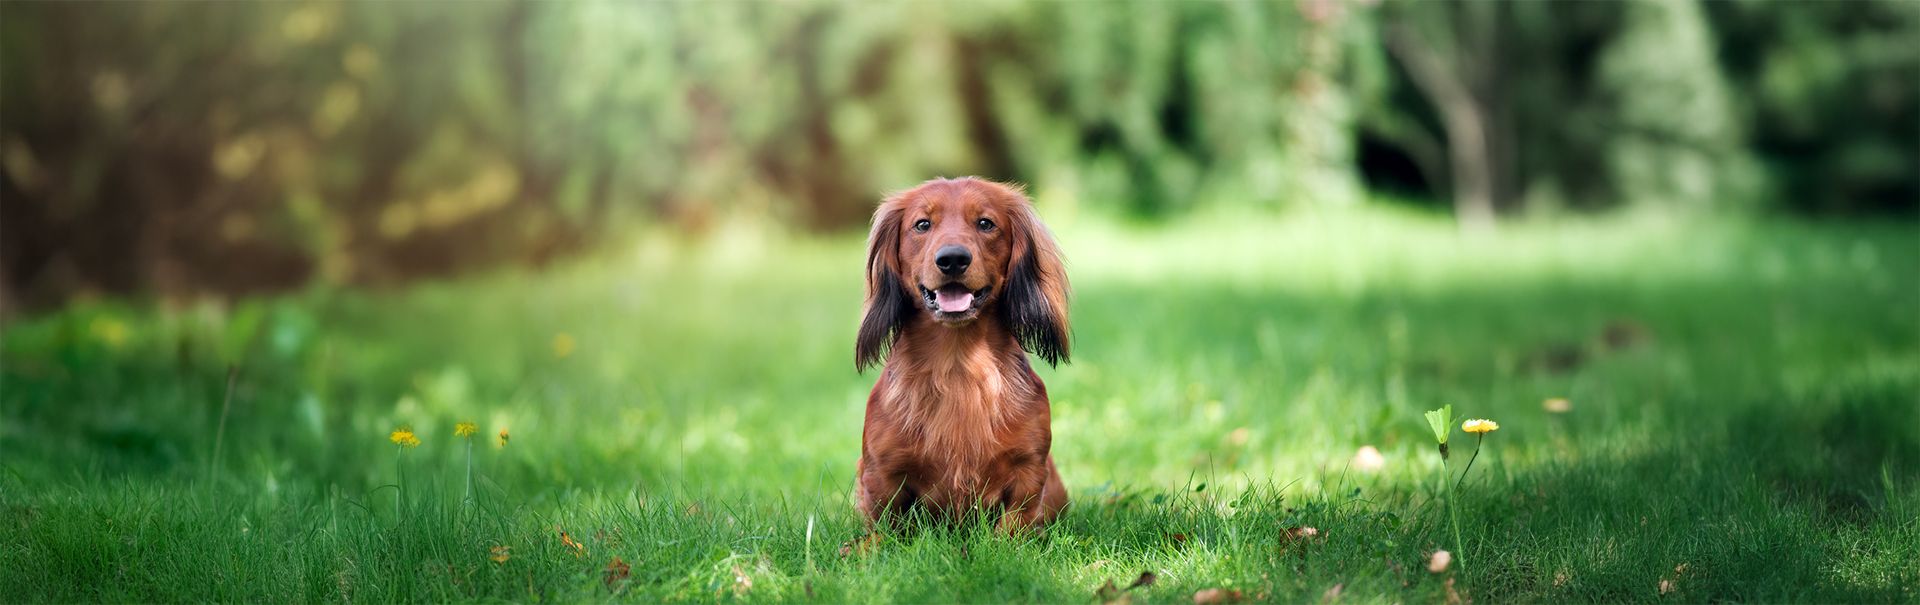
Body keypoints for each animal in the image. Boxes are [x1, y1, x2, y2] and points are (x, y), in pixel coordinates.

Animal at [852, 177, 1067, 533]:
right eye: (922, 224)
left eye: (986, 223)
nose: (952, 259)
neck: (958, 366)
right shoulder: (881, 472)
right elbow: (885, 529)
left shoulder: (1029, 469)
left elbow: (1013, 526)